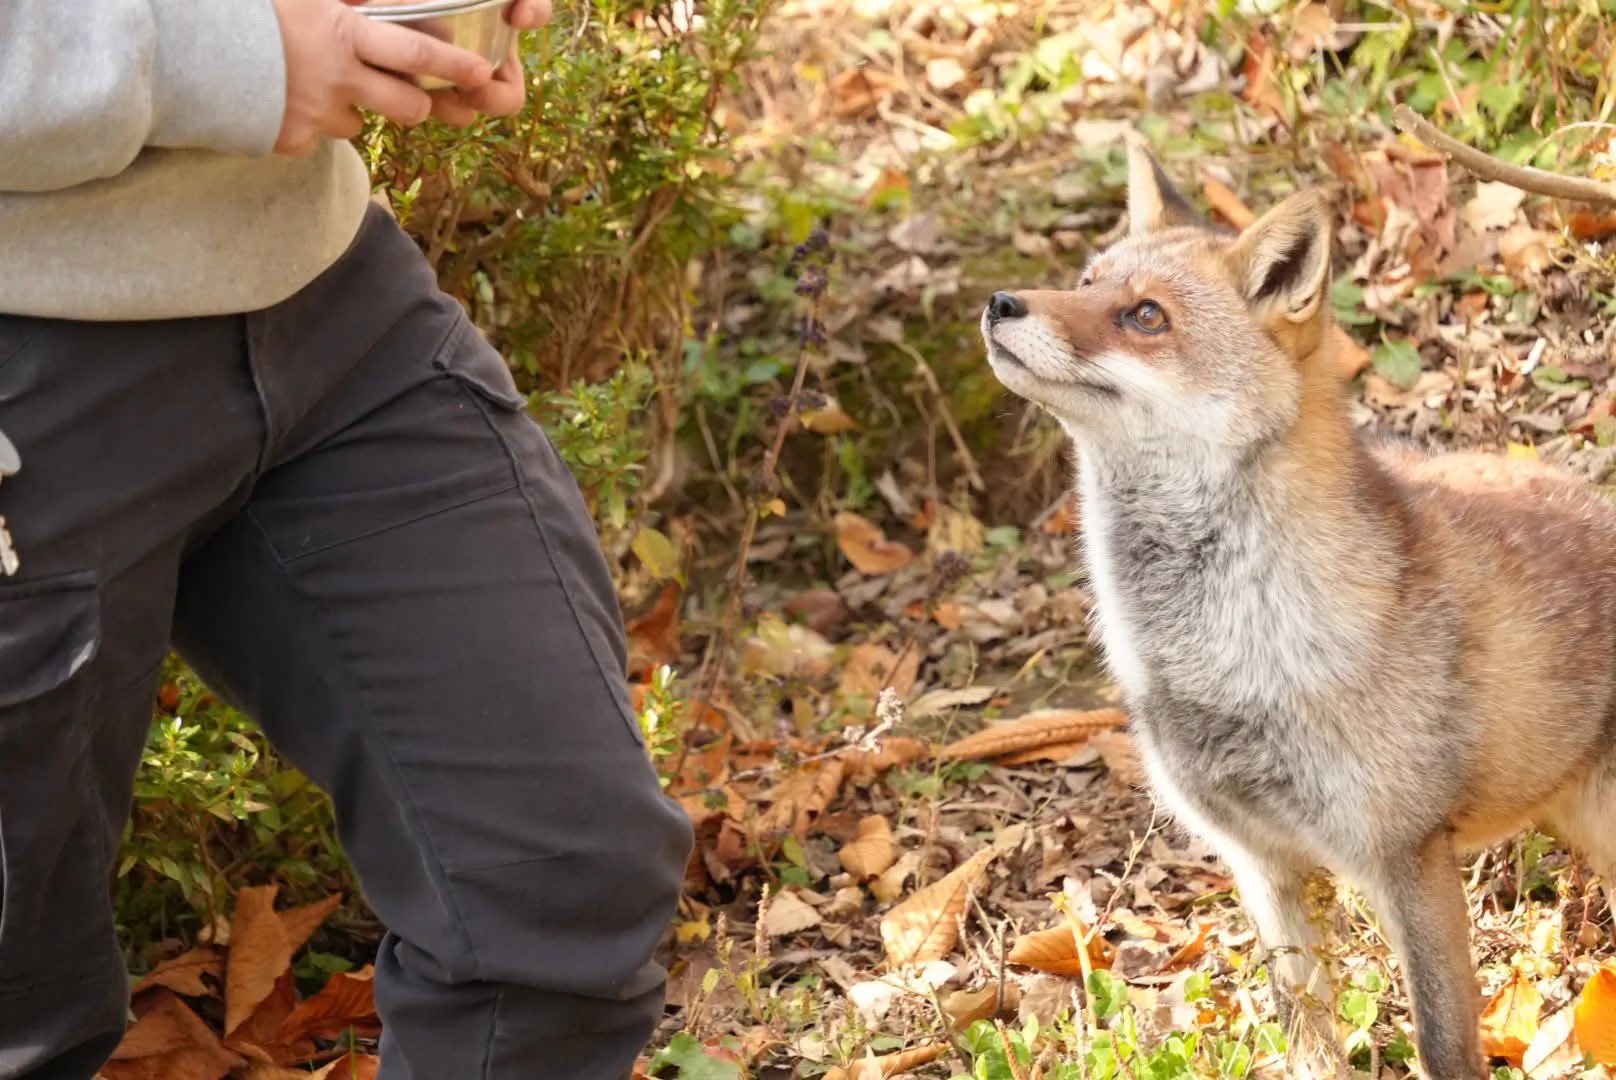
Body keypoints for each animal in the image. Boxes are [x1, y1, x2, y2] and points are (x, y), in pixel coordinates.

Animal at [979, 136, 1616, 1080]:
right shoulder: (1260, 862)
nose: (1000, 302)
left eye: (1145, 317)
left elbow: (1443, 1047)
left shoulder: (1408, 859)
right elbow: (1307, 1035)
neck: (1227, 656)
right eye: (1087, 280)